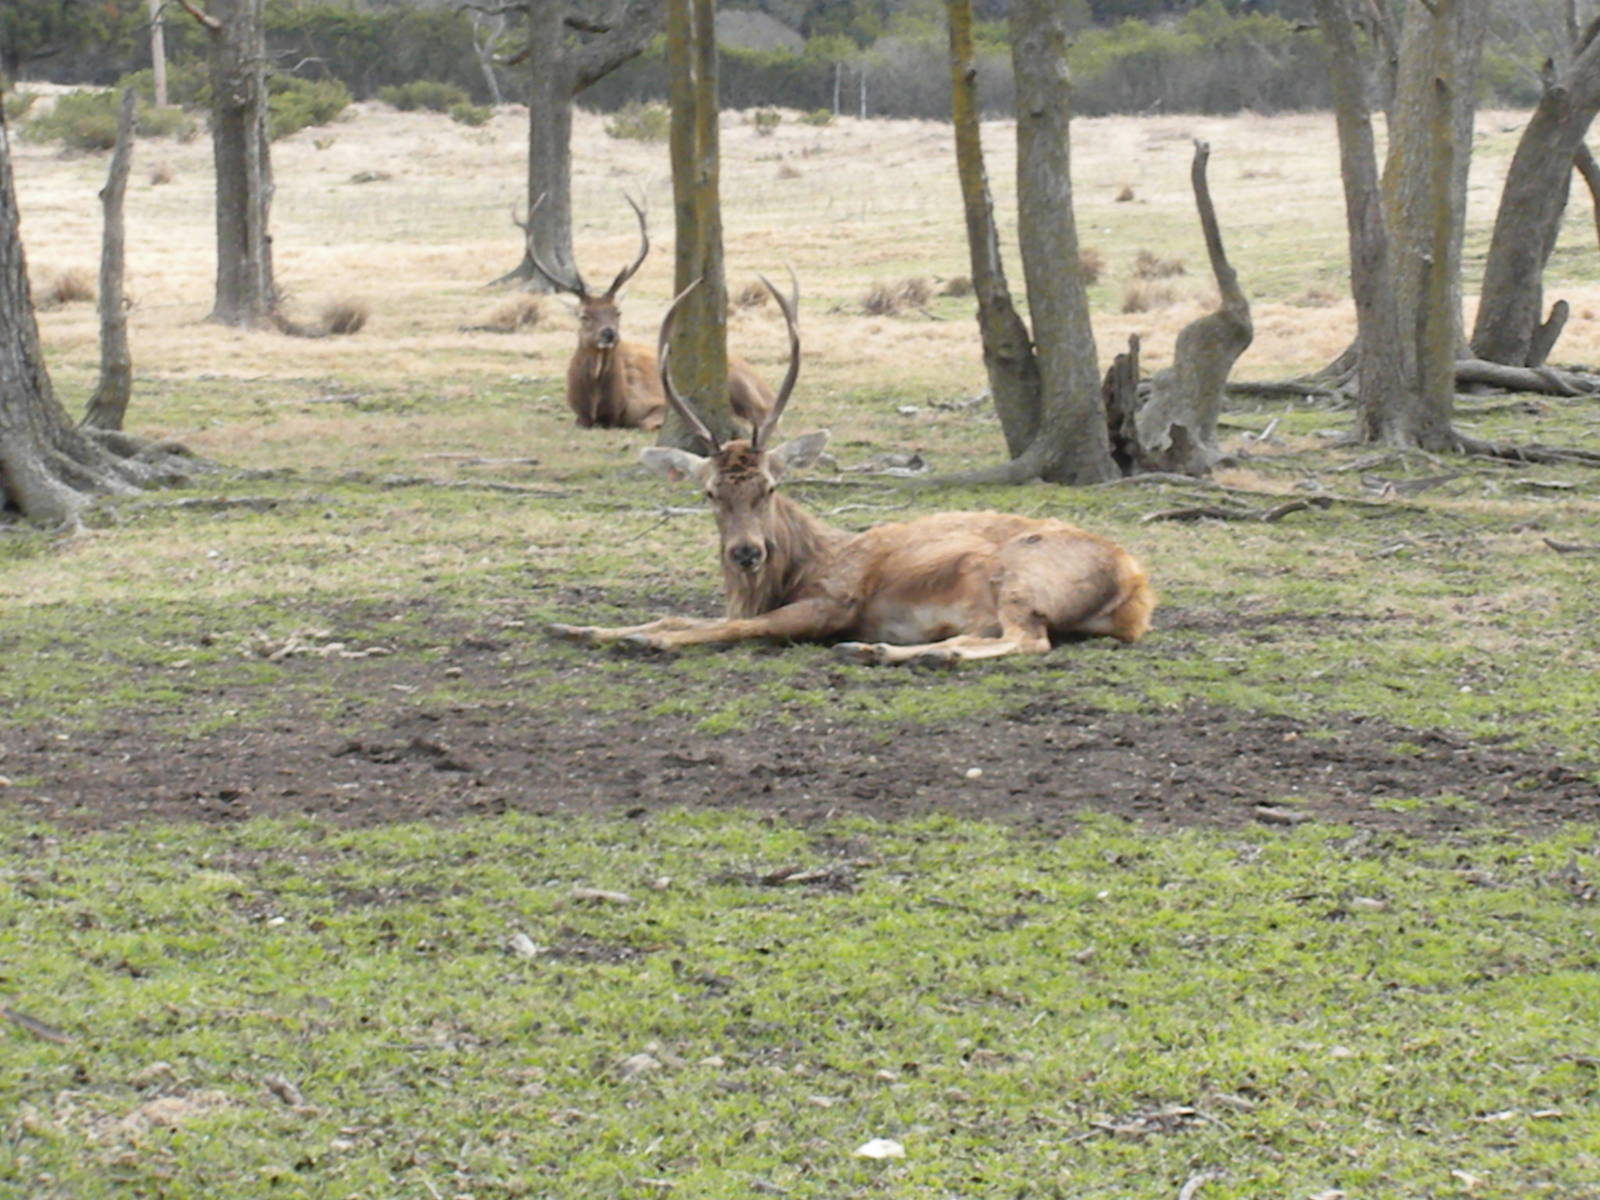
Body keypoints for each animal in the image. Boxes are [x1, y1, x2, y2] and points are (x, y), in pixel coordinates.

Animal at [527, 196, 774, 432]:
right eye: (584, 315)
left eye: (617, 312)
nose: (609, 333)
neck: (604, 407)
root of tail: (766, 388)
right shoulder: (579, 416)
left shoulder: (658, 402)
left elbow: (645, 423)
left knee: (759, 415)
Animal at [547, 275, 1157, 666]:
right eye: (710, 493)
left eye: (771, 487)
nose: (745, 553)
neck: (797, 567)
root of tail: (1136, 584)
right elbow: (679, 617)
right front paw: (574, 626)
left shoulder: (833, 602)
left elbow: (730, 626)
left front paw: (642, 641)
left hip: (1022, 574)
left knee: (1029, 639)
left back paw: (890, 651)